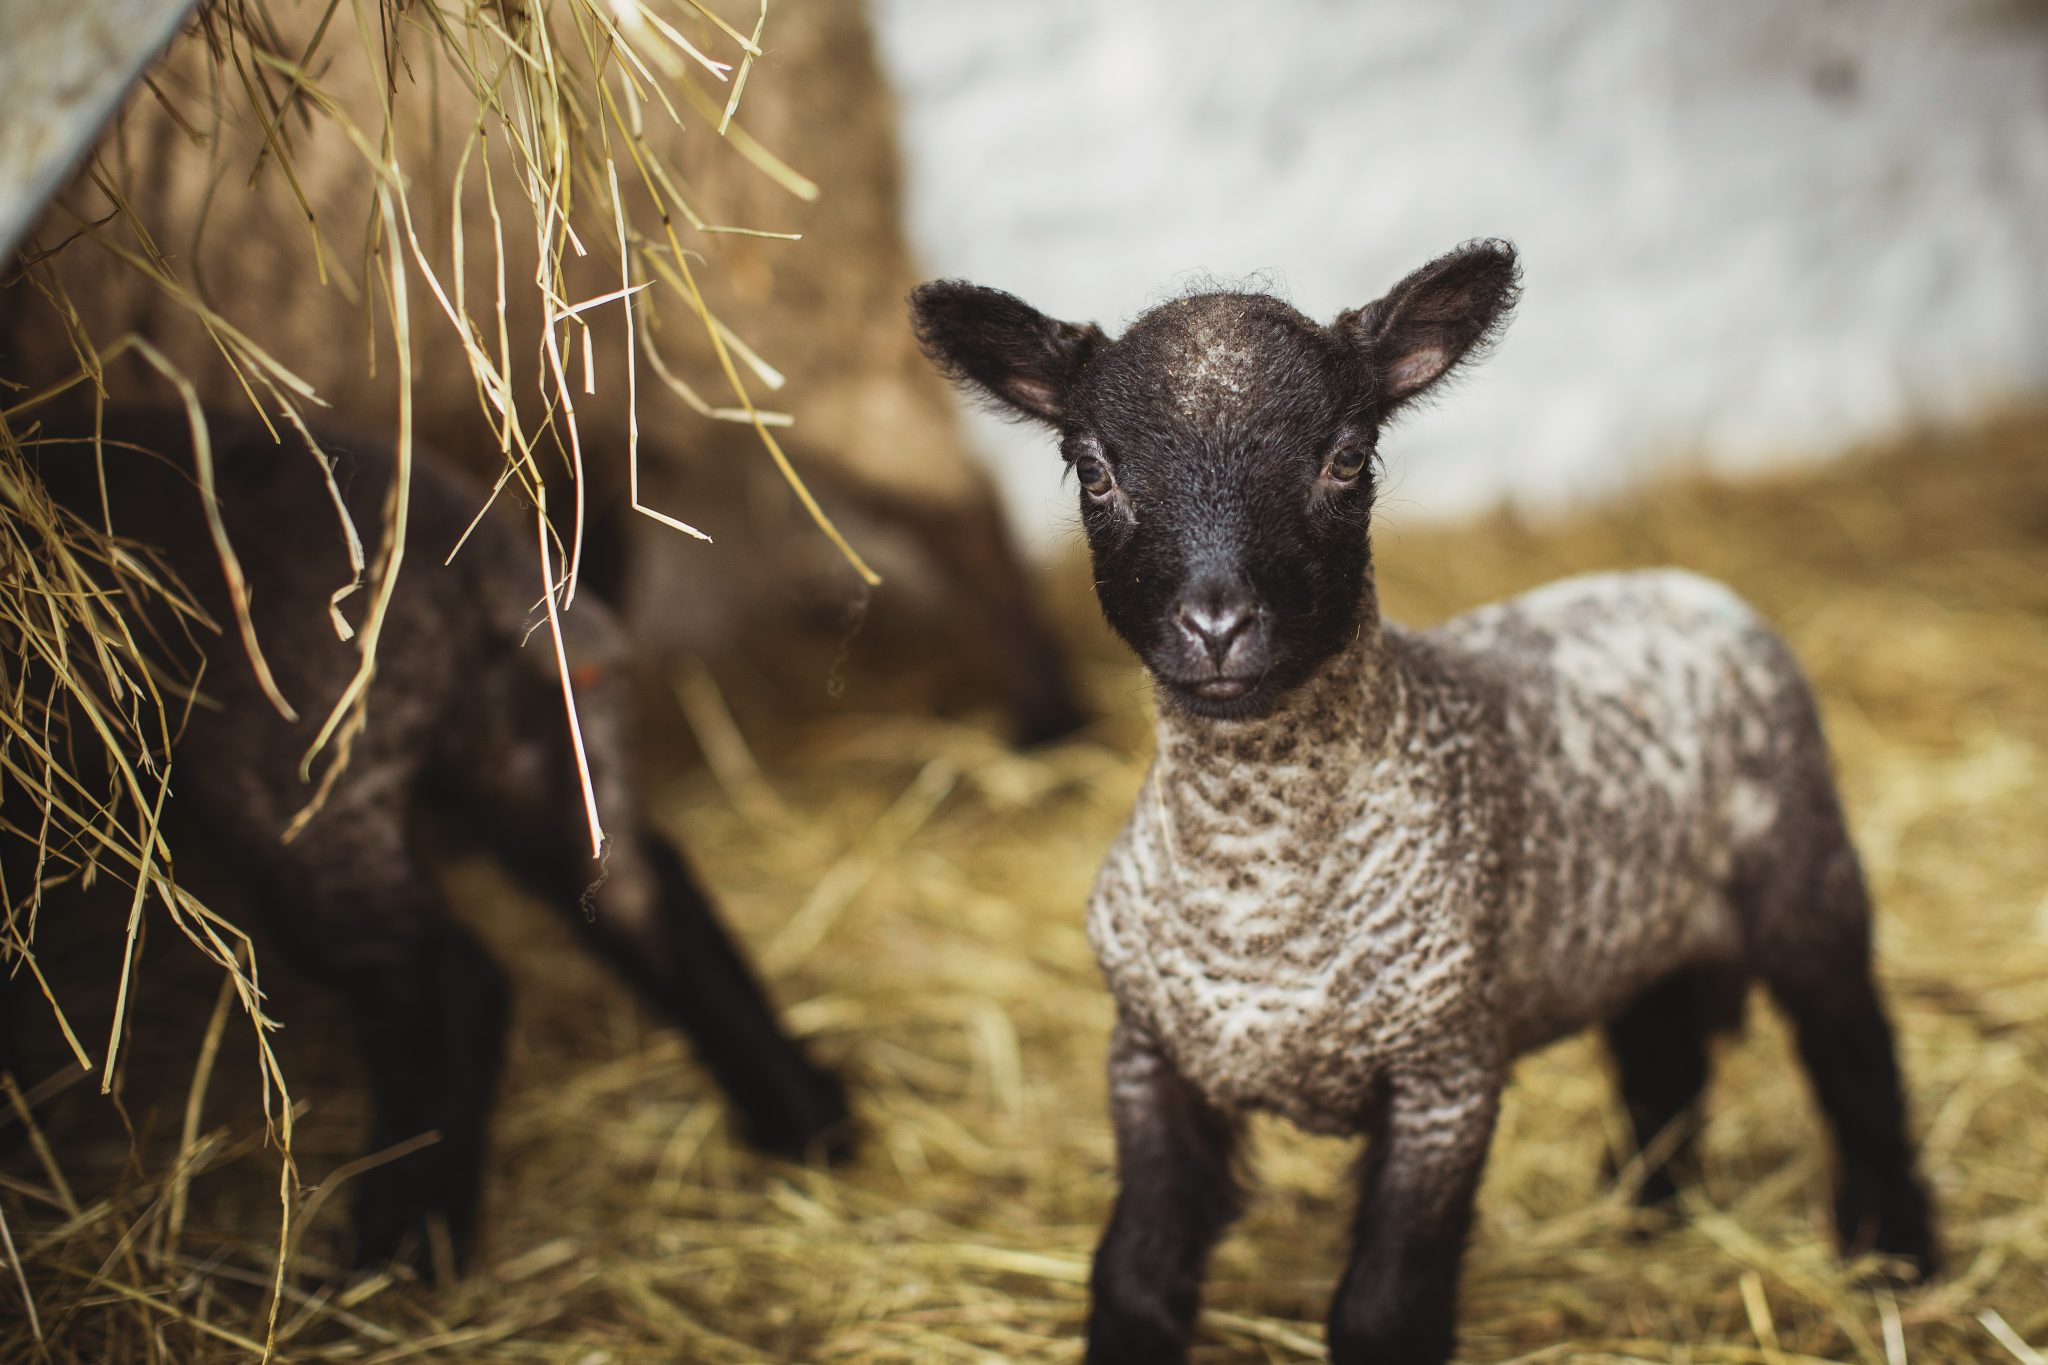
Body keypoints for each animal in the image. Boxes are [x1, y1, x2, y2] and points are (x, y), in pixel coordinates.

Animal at [2, 401, 847, 1277]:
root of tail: (479, 567)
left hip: (308, 770)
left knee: (447, 976)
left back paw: (404, 1236)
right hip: (544, 745)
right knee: (648, 899)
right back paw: (806, 1120)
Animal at [909, 240, 1933, 1358]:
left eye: (1347, 459)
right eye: (1092, 469)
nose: (1216, 626)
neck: (1256, 883)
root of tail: (1684, 584)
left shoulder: (1447, 1079)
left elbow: (1383, 1307)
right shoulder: (1146, 1056)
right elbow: (1134, 1276)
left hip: (1805, 872)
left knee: (1855, 1059)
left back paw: (1897, 1254)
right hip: (1634, 930)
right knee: (1661, 1056)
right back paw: (1644, 1212)